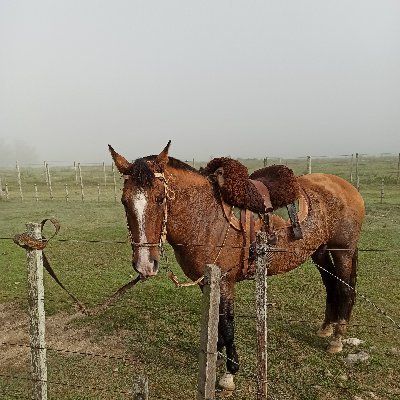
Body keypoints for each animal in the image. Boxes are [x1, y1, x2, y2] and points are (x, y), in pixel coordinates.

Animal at [108, 140, 366, 390]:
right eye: (124, 202)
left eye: (160, 198)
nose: (145, 264)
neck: (205, 215)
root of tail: (347, 187)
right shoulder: (207, 281)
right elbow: (217, 324)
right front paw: (217, 357)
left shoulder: (224, 281)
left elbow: (228, 324)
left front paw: (229, 374)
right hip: (319, 252)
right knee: (331, 286)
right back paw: (327, 328)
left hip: (342, 251)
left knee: (345, 289)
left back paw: (337, 340)